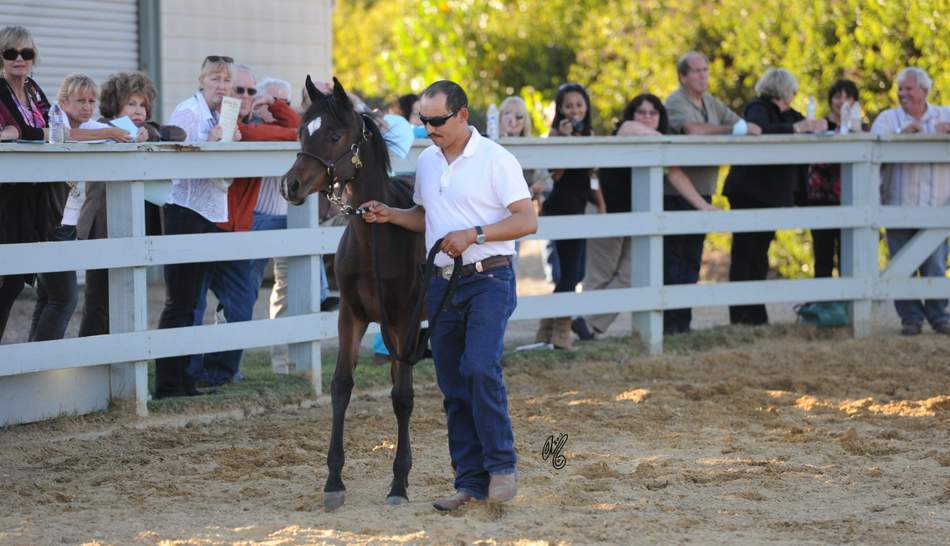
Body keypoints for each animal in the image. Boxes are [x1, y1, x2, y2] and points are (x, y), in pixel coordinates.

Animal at [281, 76, 426, 510]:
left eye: (334, 135)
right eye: (301, 131)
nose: (291, 184)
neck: (377, 237)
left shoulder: (404, 319)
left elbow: (403, 396)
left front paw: (399, 483)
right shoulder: (352, 315)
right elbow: (341, 387)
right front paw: (333, 481)